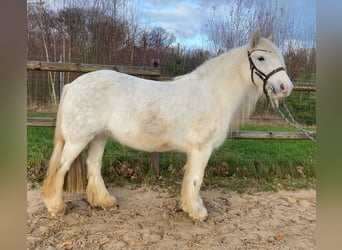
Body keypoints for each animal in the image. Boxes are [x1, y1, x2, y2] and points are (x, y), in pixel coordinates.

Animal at [41, 29, 292, 221]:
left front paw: (191, 206)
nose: (285, 87)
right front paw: (197, 212)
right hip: (78, 139)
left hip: (99, 136)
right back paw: (56, 207)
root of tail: (72, 85)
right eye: (261, 58)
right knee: (60, 168)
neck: (211, 93)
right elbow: (196, 179)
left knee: (93, 165)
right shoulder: (202, 149)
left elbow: (192, 179)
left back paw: (105, 202)